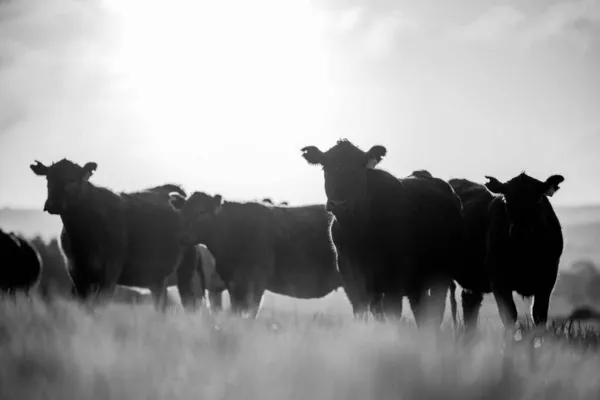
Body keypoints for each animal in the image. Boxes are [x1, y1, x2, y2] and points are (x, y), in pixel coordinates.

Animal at [29, 159, 199, 310]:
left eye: (72, 179)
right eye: (48, 178)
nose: (52, 204)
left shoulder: (110, 271)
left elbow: (99, 306)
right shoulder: (77, 274)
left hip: (186, 275)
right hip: (157, 278)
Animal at [179, 194, 342, 318]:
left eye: (201, 212)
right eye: (183, 211)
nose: (183, 235)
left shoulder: (255, 282)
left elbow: (250, 312)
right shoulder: (234, 284)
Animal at [302, 139, 466, 330]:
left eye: (360, 167)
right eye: (325, 167)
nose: (339, 203)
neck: (358, 232)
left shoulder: (393, 279)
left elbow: (392, 314)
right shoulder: (351, 279)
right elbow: (364, 312)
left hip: (441, 275)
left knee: (435, 312)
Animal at [448, 173, 564, 332]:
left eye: (537, 199)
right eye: (507, 200)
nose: (519, 231)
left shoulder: (547, 279)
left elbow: (539, 316)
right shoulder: (498, 280)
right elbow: (509, 316)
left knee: (470, 305)